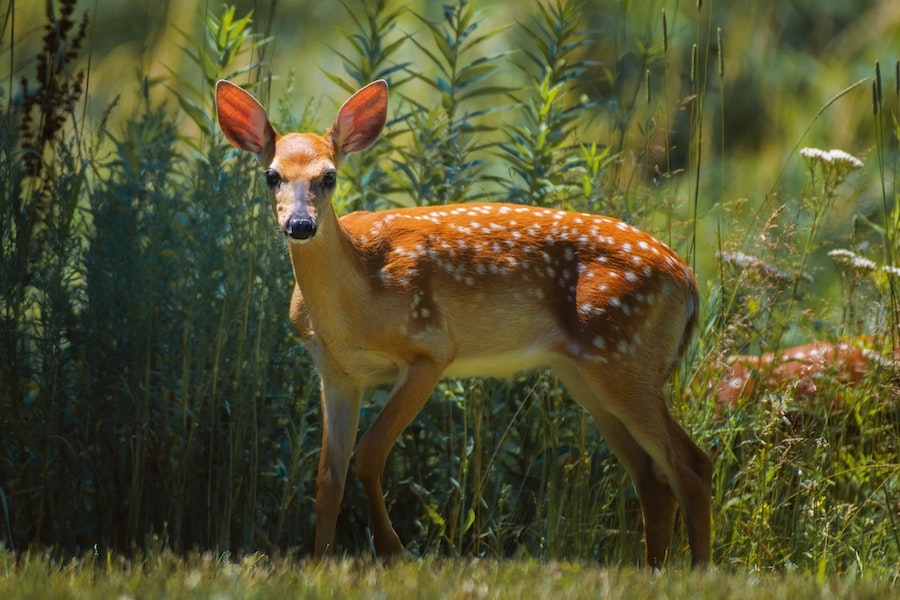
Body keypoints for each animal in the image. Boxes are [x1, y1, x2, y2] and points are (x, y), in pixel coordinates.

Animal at [214, 78, 712, 568]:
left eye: (329, 176)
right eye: (272, 175)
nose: (300, 224)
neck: (355, 305)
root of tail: (689, 282)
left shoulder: (431, 349)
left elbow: (369, 455)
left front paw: (393, 549)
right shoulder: (336, 373)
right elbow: (326, 479)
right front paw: (321, 563)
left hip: (625, 357)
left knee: (692, 465)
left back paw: (698, 570)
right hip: (585, 372)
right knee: (652, 479)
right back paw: (655, 569)